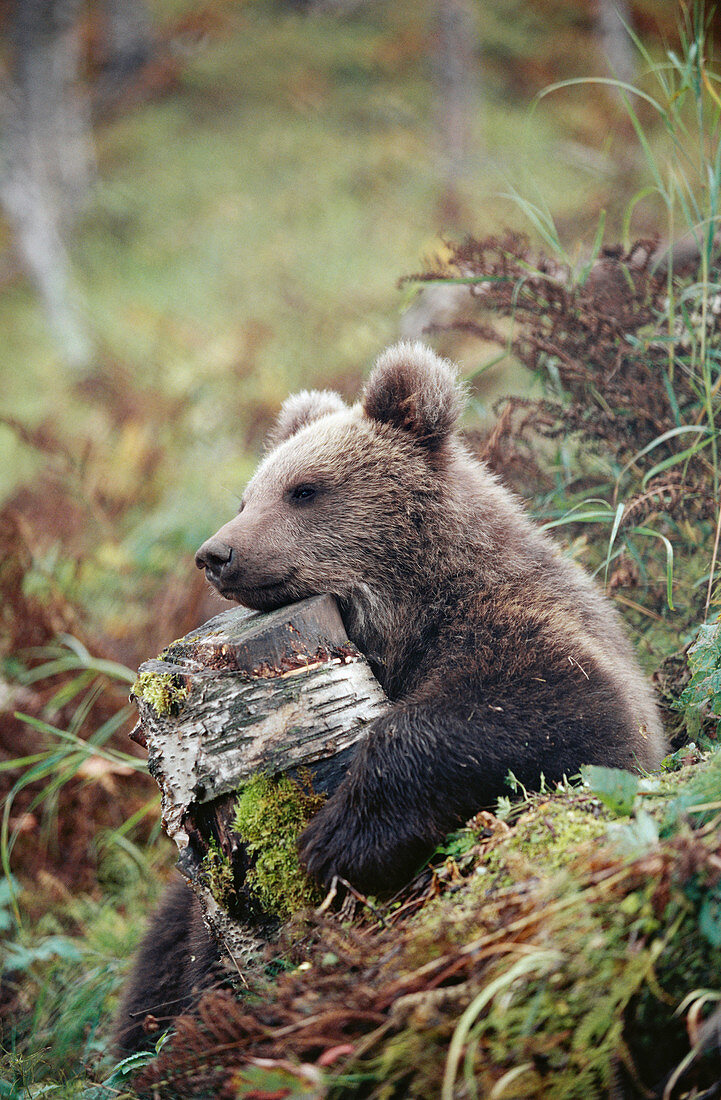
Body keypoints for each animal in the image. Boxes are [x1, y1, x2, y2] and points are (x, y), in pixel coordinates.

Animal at [117, 338, 664, 1051]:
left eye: (303, 489)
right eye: (246, 497)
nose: (216, 554)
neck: (404, 612)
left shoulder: (513, 631)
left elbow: (563, 712)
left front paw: (340, 838)